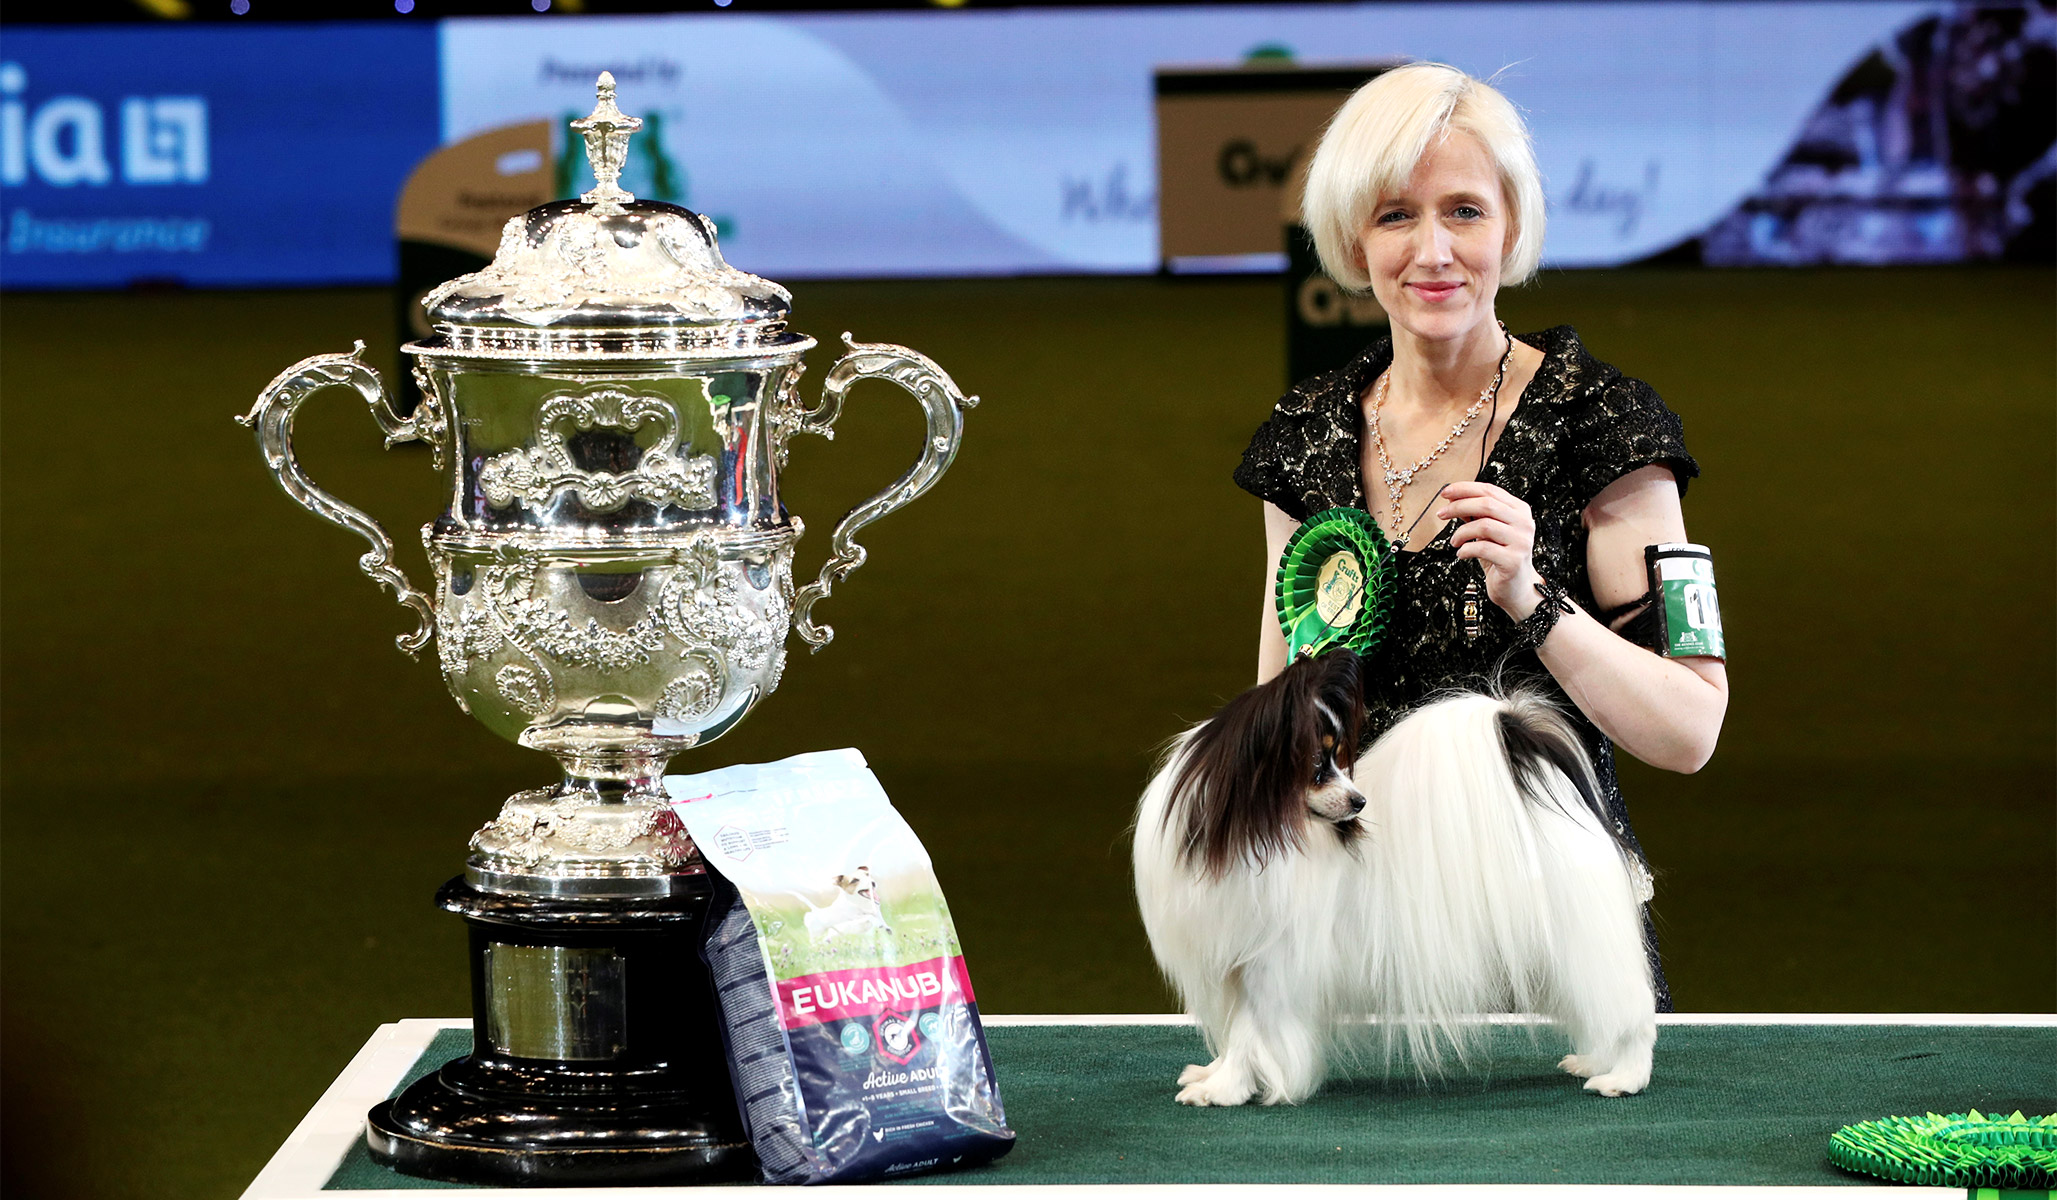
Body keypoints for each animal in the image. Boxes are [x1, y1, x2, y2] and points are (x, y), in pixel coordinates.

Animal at [1135, 654, 1662, 1111]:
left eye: (1338, 759)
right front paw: (1214, 1073)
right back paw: (1594, 1061)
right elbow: (1237, 1033)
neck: (1249, 829)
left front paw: (1224, 1088)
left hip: (1581, 940)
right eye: (1317, 765)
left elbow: (1249, 1032)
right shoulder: (1239, 962)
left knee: (1631, 1011)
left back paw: (1624, 1077)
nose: (1359, 801)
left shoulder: (1270, 966)